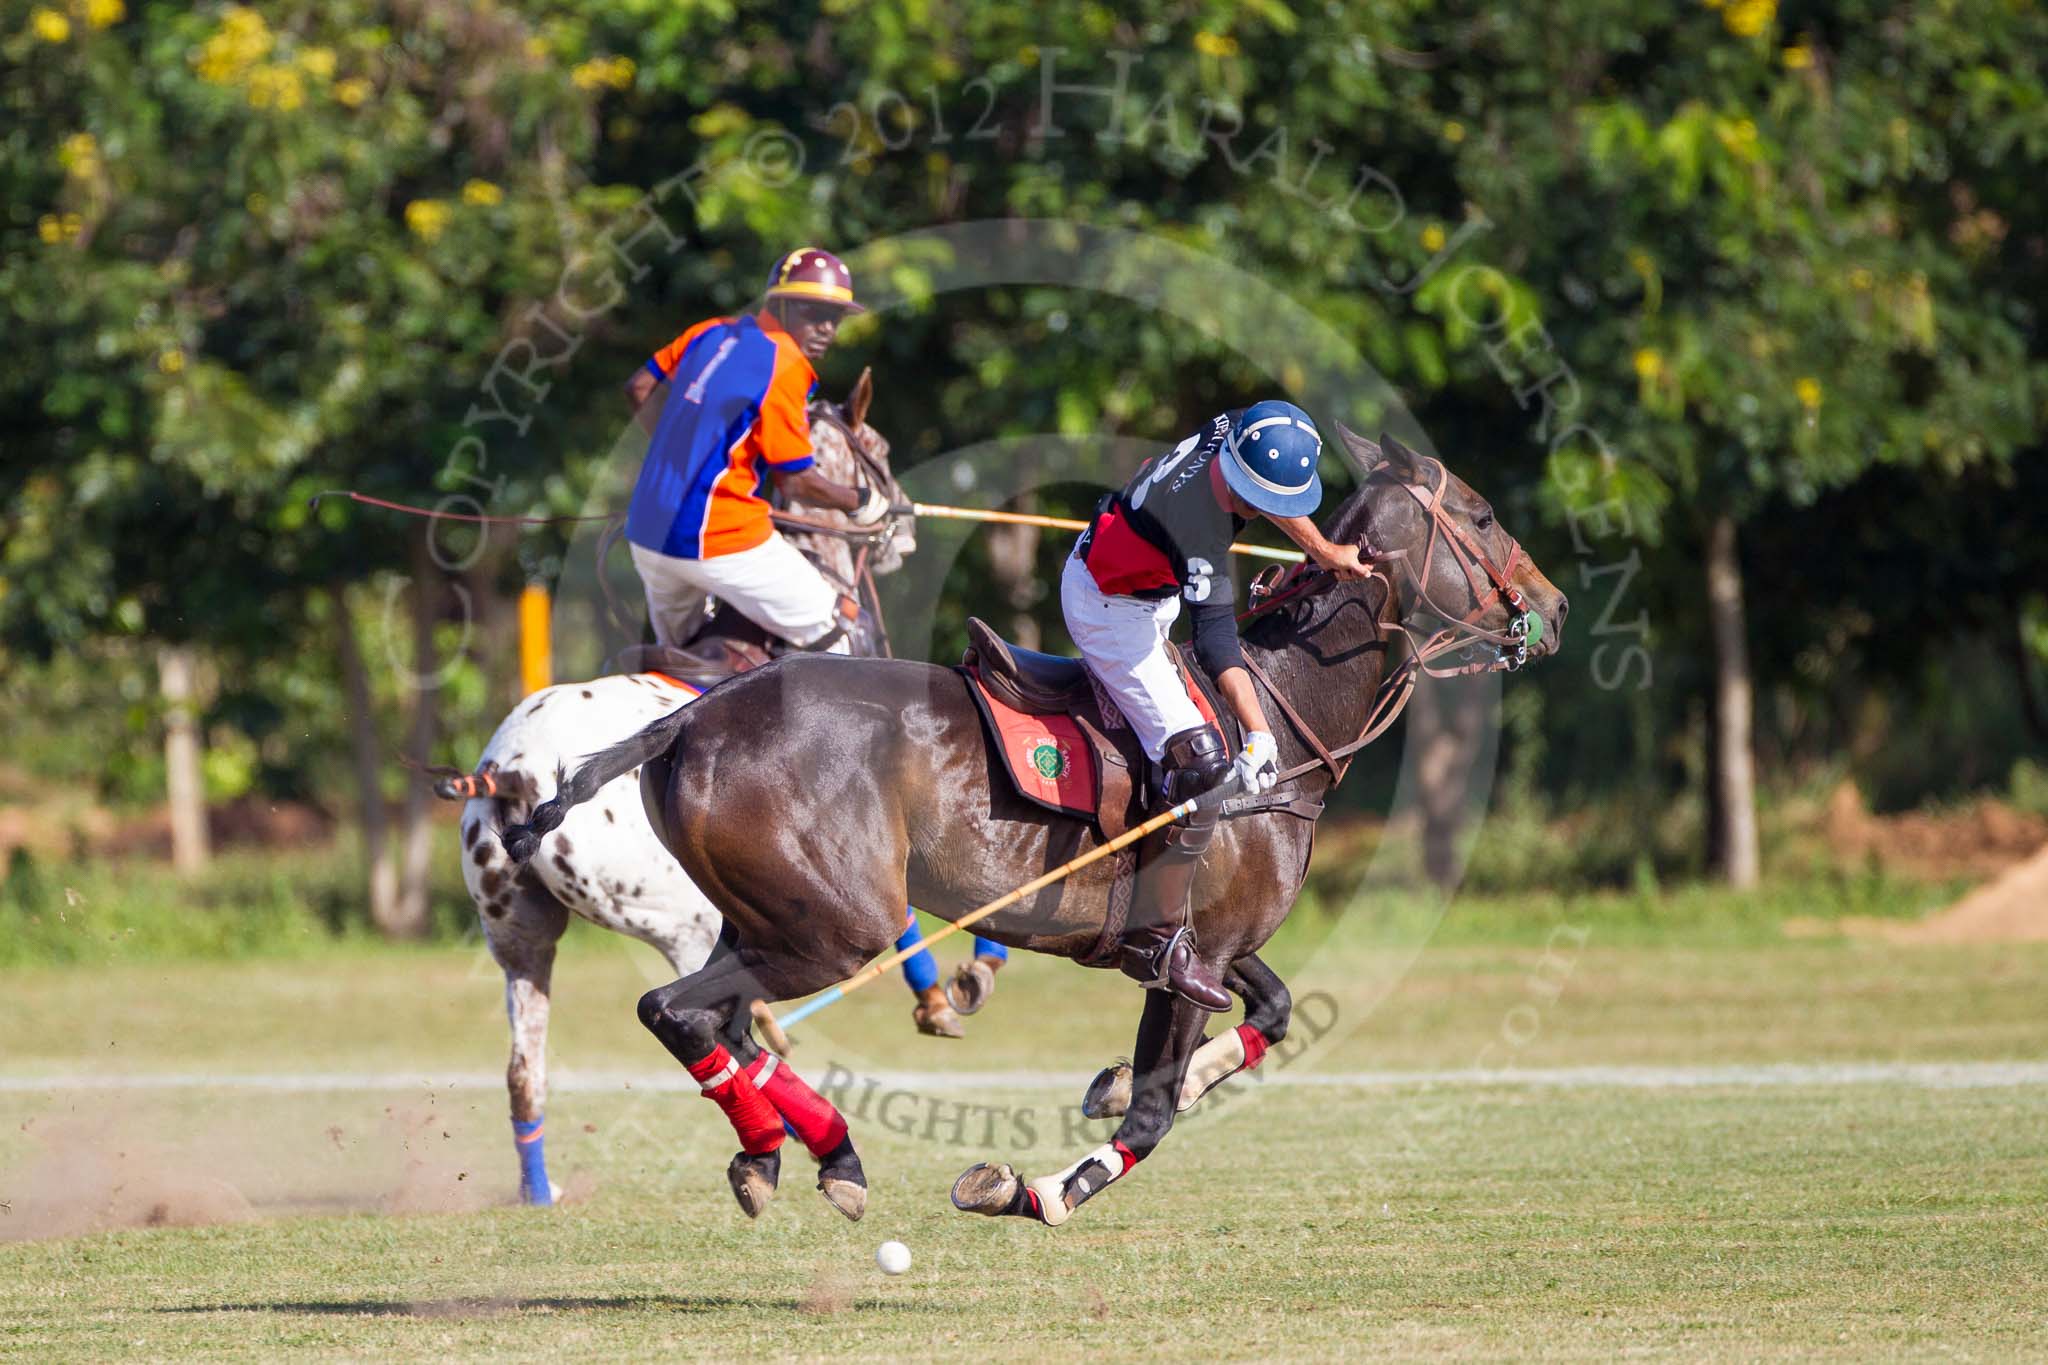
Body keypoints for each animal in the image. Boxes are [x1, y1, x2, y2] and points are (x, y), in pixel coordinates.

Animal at [507, 427, 1564, 1227]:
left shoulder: (1210, 946)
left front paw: (1108, 1083)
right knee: (674, 1009)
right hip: (834, 928)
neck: (1284, 705)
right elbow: (1152, 1114)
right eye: (1480, 515)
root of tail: (691, 715)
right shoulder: (1194, 955)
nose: (1551, 609)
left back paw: (811, 1156)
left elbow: (1267, 1013)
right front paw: (1031, 1188)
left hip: (765, 916)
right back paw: (803, 1153)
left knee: (723, 1020)